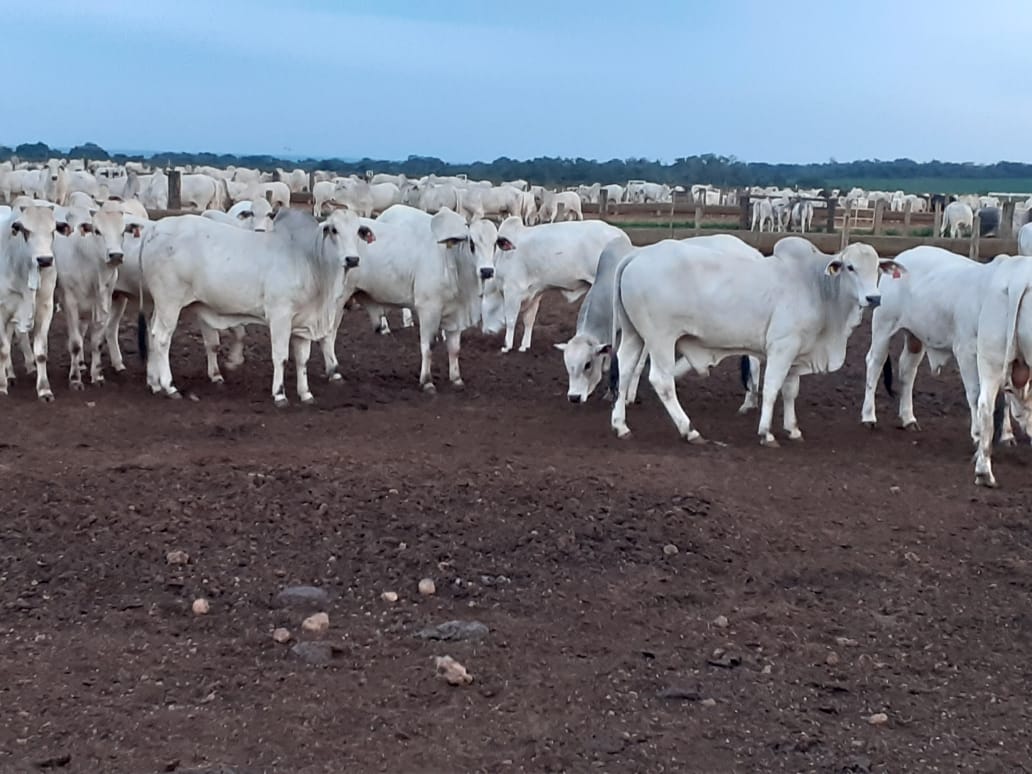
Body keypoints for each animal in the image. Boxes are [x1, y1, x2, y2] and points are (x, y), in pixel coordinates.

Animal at [0, 206, 60, 400]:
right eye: (26, 230)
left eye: (53, 230)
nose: (45, 260)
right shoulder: (2, 310)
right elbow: (3, 349)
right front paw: (1, 387)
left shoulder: (45, 308)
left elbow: (40, 352)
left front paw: (44, 389)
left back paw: (11, 374)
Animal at [139, 209, 369, 408]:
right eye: (334, 230)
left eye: (358, 230)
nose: (352, 259)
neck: (309, 260)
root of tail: (154, 228)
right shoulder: (280, 316)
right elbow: (281, 356)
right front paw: (279, 394)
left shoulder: (304, 322)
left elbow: (302, 359)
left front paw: (306, 393)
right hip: (169, 302)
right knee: (162, 338)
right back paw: (170, 386)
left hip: (162, 304)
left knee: (152, 333)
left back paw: (154, 383)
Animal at [334, 206, 495, 394]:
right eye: (472, 244)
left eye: (495, 244)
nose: (487, 271)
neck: (451, 259)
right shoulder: (429, 309)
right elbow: (428, 346)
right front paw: (427, 381)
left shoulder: (456, 314)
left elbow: (454, 349)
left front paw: (456, 379)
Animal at [480, 216, 619, 352]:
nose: (485, 332)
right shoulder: (535, 292)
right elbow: (529, 320)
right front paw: (524, 346)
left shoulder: (512, 290)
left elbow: (510, 319)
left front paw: (507, 346)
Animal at [610, 236, 904, 445]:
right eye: (850, 267)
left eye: (878, 268)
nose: (874, 298)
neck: (815, 284)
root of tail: (638, 254)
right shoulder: (782, 347)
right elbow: (772, 388)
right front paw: (766, 433)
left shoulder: (797, 352)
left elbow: (790, 390)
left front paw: (793, 429)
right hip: (660, 338)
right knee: (661, 380)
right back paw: (689, 430)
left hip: (634, 334)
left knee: (624, 368)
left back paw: (621, 425)